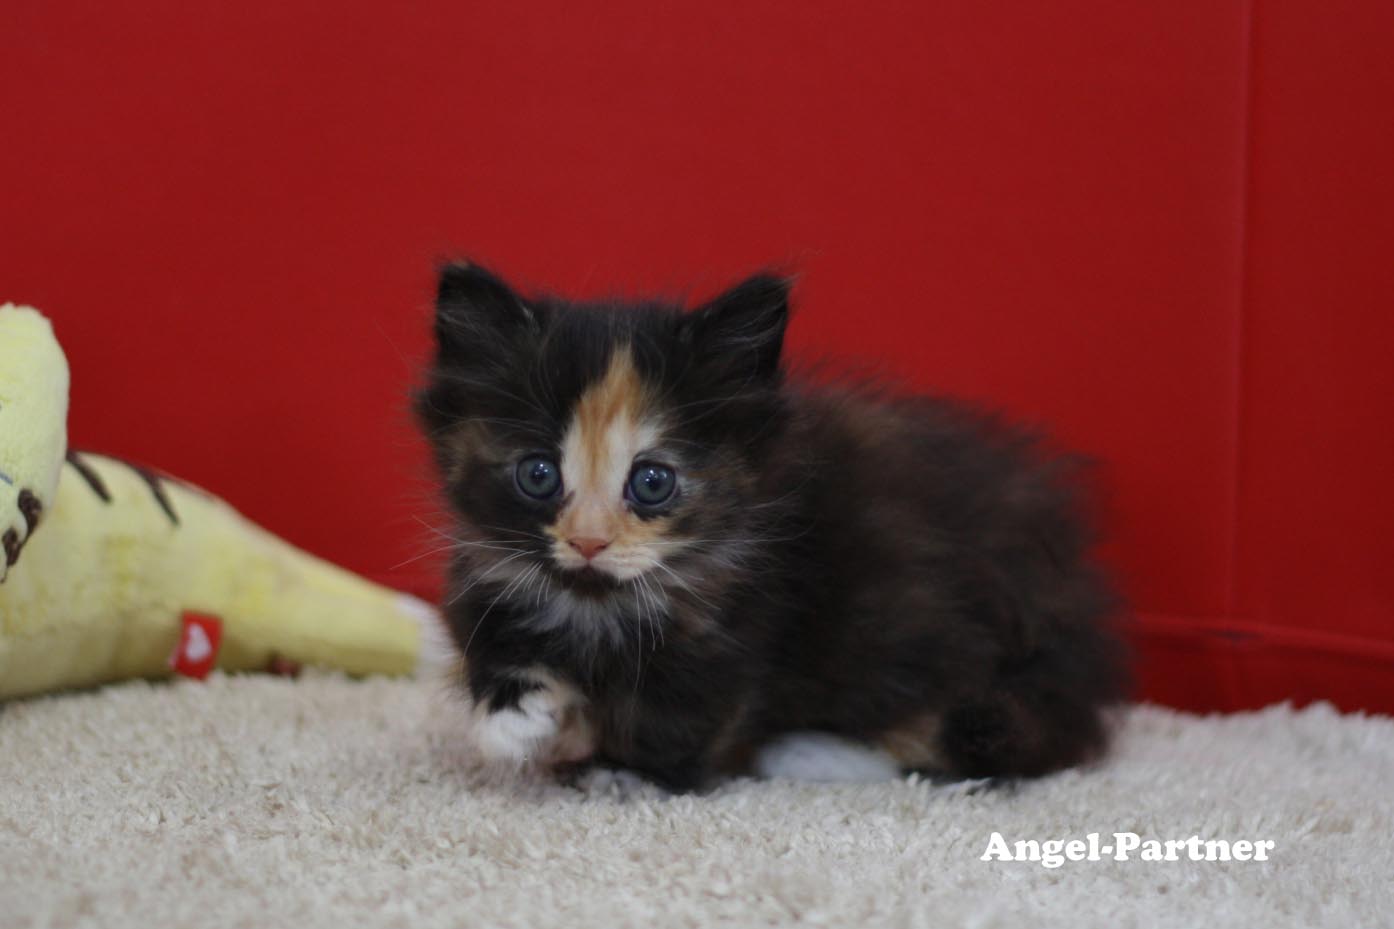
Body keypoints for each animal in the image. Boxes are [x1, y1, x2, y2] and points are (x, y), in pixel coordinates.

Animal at [412, 260, 1120, 786]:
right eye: (538, 475)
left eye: (652, 481)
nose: (589, 542)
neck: (598, 606)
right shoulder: (482, 579)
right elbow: (488, 646)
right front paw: (519, 719)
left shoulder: (744, 626)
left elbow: (673, 720)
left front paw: (614, 766)